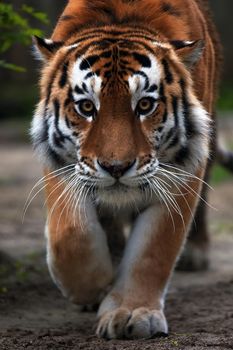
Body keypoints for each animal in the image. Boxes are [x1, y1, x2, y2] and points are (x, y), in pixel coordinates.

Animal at [29, 0, 224, 340]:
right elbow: (71, 231)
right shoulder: (62, 164)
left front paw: (132, 312)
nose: (116, 167)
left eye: (145, 105)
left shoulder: (182, 171)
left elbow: (153, 250)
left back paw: (194, 253)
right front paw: (93, 287)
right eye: (87, 107)